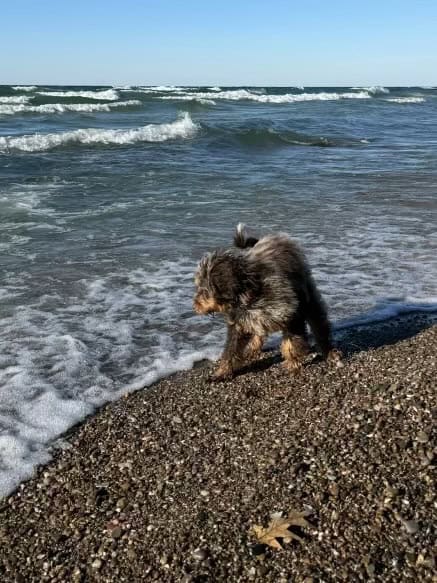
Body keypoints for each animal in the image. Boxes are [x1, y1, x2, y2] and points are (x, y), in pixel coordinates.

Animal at [193, 221, 340, 380]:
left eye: (204, 291)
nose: (195, 305)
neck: (247, 297)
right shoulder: (239, 323)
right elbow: (231, 350)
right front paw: (222, 372)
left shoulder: (291, 313)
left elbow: (291, 344)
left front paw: (292, 363)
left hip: (308, 297)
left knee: (319, 324)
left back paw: (329, 351)